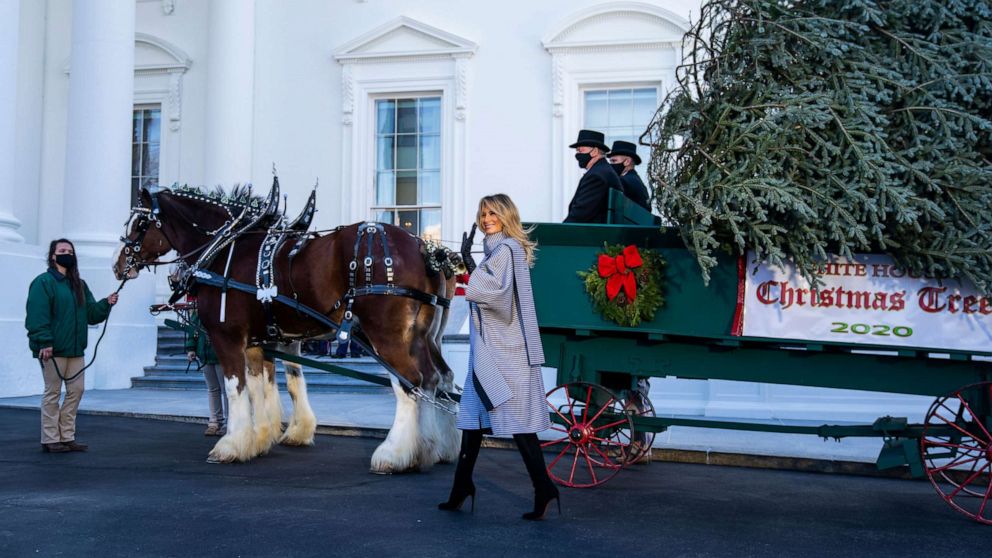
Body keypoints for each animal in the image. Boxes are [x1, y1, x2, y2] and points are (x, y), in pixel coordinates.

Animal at [113, 186, 462, 470]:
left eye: (140, 224)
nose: (119, 264)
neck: (224, 248)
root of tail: (425, 249)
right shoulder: (260, 341)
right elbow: (266, 385)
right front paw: (260, 438)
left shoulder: (227, 336)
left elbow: (235, 388)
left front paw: (230, 445)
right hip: (423, 336)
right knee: (438, 379)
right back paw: (435, 448)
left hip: (386, 334)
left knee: (410, 382)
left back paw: (394, 453)